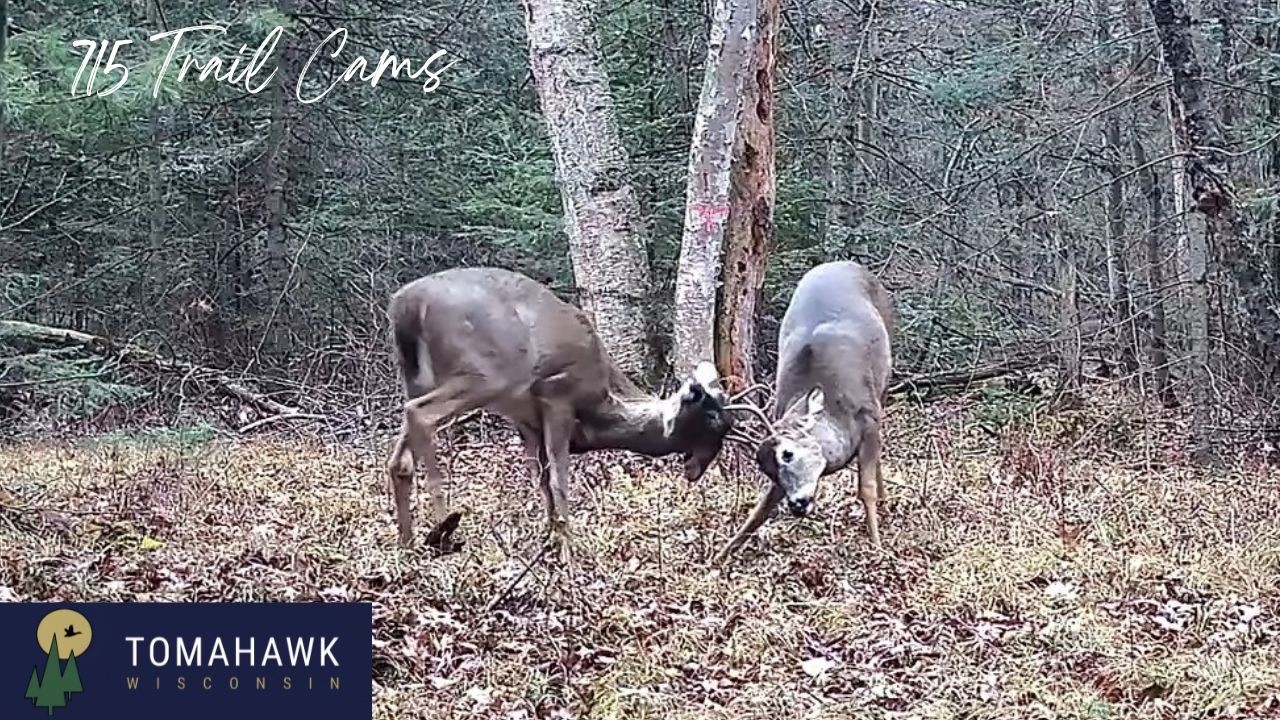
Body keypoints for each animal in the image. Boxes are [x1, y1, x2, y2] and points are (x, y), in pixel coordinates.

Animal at [384, 266, 764, 559]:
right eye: (714, 419)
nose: (696, 470)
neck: (599, 406)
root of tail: (406, 303)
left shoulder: (527, 422)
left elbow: (542, 485)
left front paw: (549, 543)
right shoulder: (556, 396)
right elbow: (559, 482)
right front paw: (568, 553)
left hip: (417, 376)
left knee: (399, 455)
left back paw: (407, 543)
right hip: (485, 373)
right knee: (420, 414)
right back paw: (442, 529)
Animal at [713, 260, 894, 563]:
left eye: (788, 453)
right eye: (766, 468)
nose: (797, 504)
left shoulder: (869, 415)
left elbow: (865, 489)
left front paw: (878, 547)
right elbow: (760, 510)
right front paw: (721, 554)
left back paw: (884, 499)